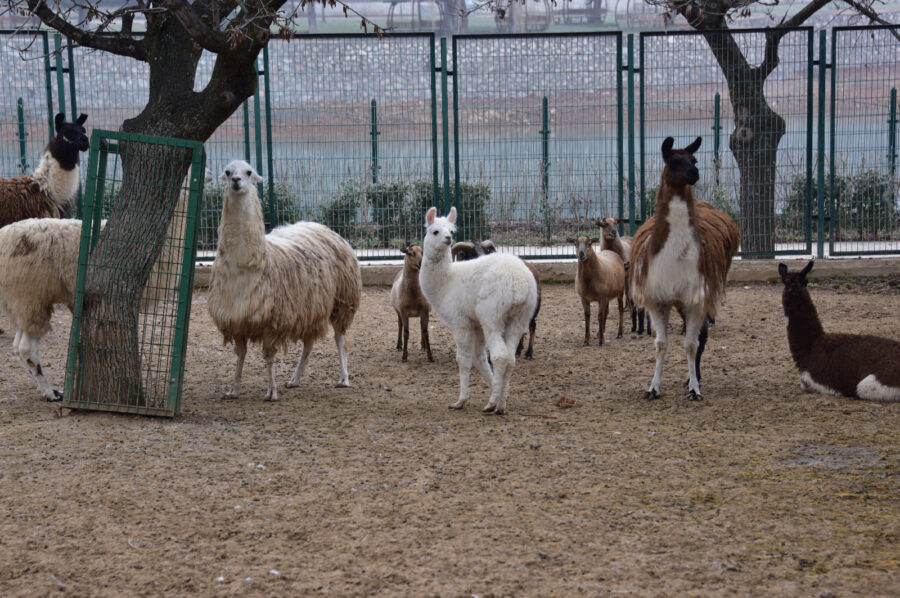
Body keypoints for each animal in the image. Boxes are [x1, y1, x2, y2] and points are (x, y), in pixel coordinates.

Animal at [628, 138, 736, 400]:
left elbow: (691, 344)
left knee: (702, 338)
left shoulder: (695, 298)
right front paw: (653, 388)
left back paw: (692, 378)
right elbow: (661, 344)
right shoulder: (658, 298)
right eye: (672, 161)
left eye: (694, 159)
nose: (694, 173)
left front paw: (694, 388)